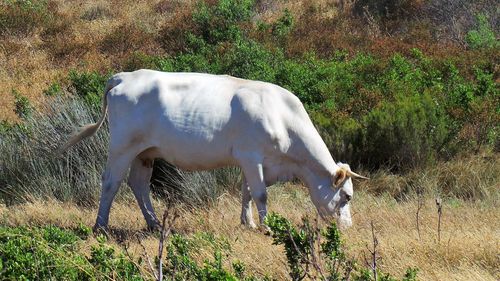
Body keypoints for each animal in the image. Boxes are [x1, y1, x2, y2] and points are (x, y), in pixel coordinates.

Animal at [60, 69, 370, 230]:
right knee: (111, 182)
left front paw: (248, 224)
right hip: (122, 146)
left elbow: (246, 193)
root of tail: (124, 76)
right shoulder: (252, 156)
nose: (347, 228)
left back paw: (155, 224)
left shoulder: (249, 161)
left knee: (138, 185)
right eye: (347, 196)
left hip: (144, 152)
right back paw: (101, 226)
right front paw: (267, 227)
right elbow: (261, 194)